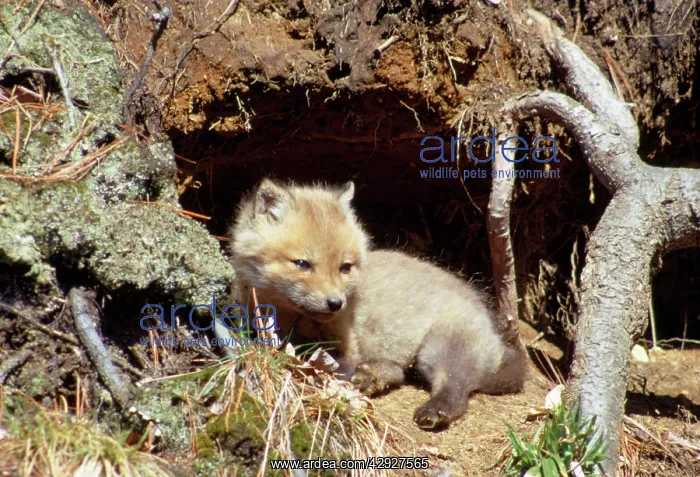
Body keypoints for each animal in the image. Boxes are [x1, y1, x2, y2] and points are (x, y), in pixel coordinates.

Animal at [229, 178, 527, 429]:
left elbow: (339, 370)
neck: (294, 320)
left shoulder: (348, 348)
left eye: (345, 267)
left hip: (440, 348)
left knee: (457, 392)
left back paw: (433, 407)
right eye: (302, 264)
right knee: (400, 373)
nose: (335, 303)